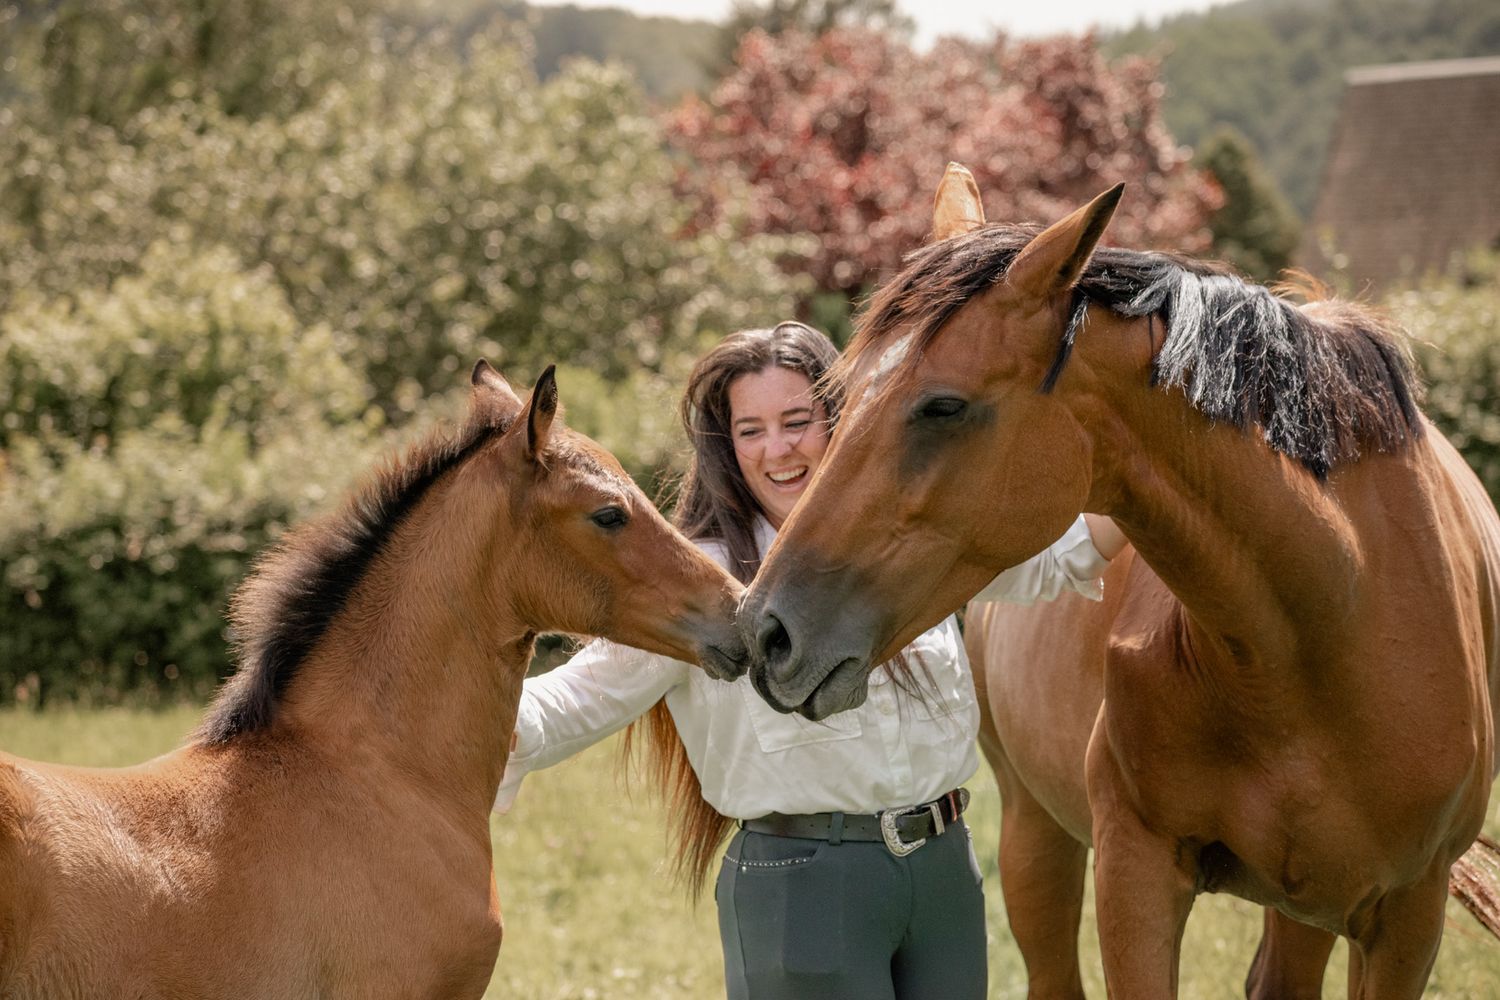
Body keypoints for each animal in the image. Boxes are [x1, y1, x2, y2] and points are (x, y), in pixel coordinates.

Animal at [739, 162, 1500, 997]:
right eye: (834, 404)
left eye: (943, 405)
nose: (768, 631)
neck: (1338, 614)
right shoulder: (1136, 871)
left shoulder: (1408, 918)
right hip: (1038, 835)